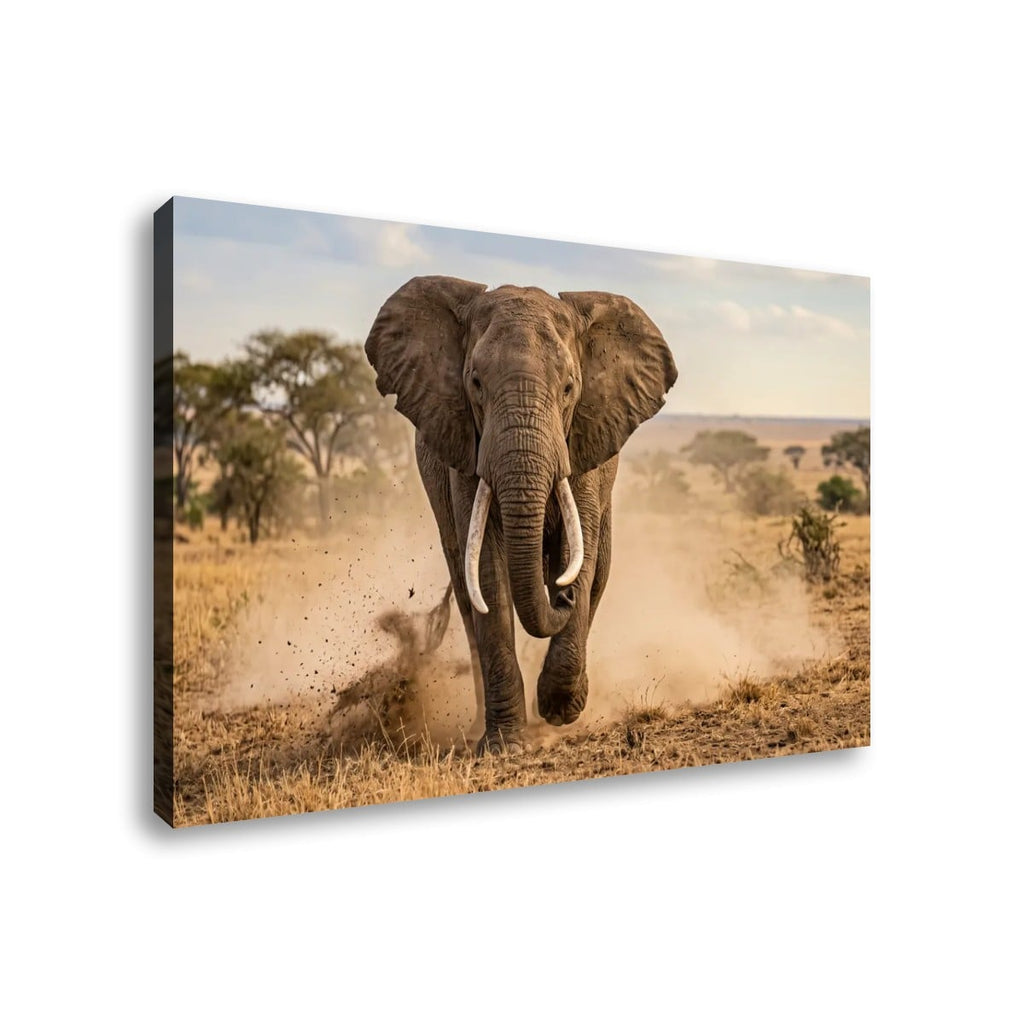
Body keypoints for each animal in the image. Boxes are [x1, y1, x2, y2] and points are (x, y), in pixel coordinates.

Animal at [364, 276, 678, 754]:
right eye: (475, 383)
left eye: (569, 388)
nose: (561, 598)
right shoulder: (466, 450)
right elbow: (488, 576)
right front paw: (504, 746)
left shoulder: (582, 446)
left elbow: (579, 554)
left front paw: (558, 710)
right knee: (466, 591)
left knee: (599, 568)